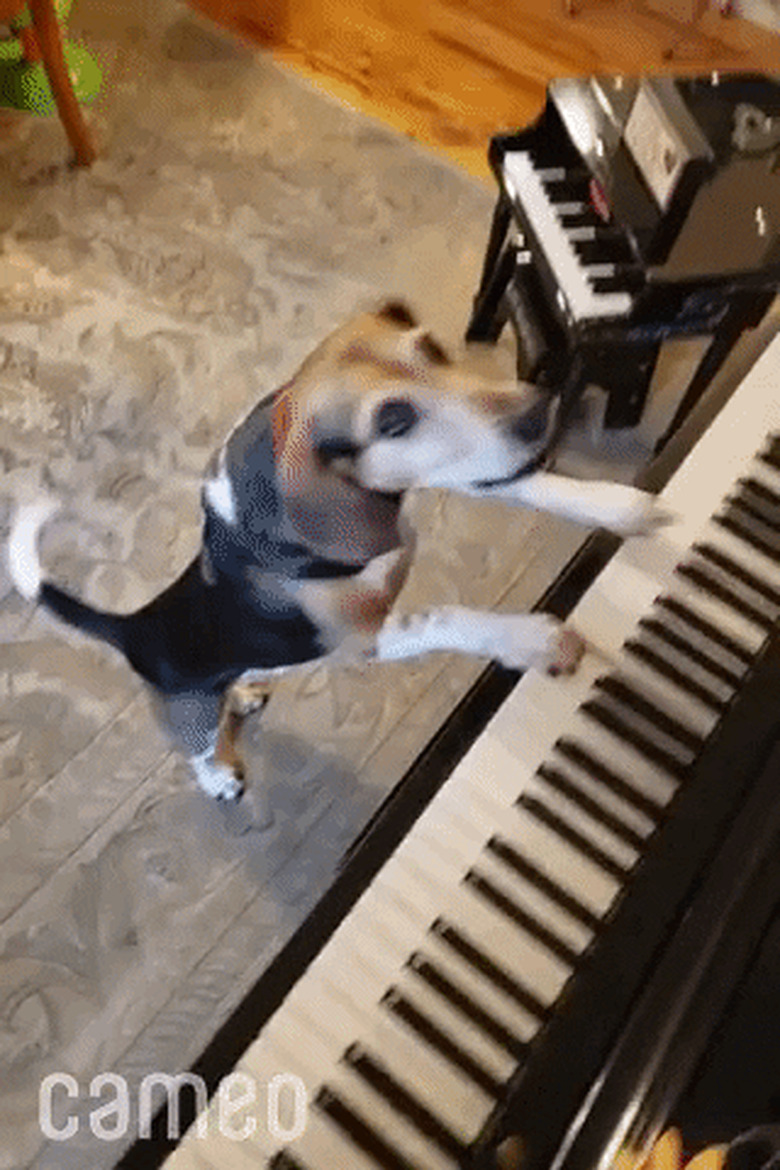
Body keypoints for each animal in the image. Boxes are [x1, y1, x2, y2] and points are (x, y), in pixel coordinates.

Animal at [4, 304, 673, 804]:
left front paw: (621, 507)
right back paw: (218, 776)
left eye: (432, 348)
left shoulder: (457, 476)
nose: (539, 410)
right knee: (197, 749)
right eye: (393, 420)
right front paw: (535, 640)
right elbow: (447, 618)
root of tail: (134, 625)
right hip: (188, 714)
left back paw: (245, 692)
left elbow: (533, 484)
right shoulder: (362, 641)